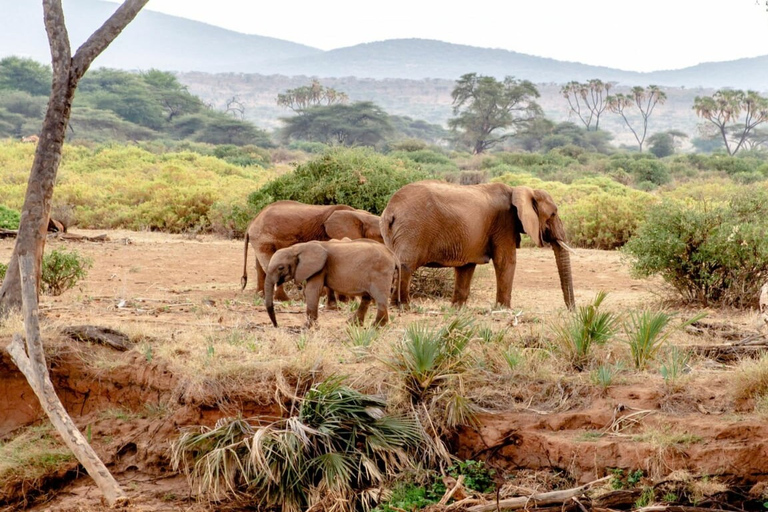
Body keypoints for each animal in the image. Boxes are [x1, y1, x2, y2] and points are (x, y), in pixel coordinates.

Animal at [242, 200, 382, 302]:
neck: (360, 215)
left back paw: (261, 295)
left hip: (261, 240)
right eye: (381, 235)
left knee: (260, 267)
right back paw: (283, 299)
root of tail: (252, 222)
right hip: (264, 238)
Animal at [264, 239, 396, 328]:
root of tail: (392, 254)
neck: (296, 248)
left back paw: (377, 326)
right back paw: (353, 324)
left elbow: (312, 291)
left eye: (280, 268)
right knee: (366, 298)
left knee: (380, 298)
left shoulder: (319, 268)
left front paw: (307, 326)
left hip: (380, 273)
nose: (277, 325)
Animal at [380, 180, 572, 308]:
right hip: (412, 228)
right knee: (405, 265)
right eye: (553, 214)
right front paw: (503, 309)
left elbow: (466, 267)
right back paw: (404, 306)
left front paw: (457, 308)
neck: (517, 190)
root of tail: (391, 210)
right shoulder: (504, 223)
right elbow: (505, 261)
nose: (571, 310)